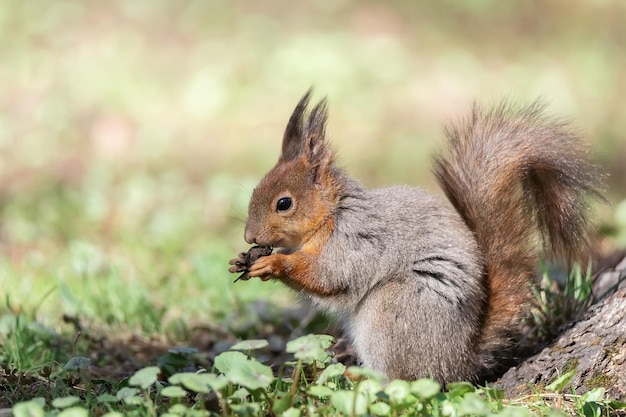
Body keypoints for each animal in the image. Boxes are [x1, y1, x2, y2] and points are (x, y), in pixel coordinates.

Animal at [227, 90, 604, 384]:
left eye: (284, 203)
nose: (249, 236)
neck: (331, 215)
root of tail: (458, 360)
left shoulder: (355, 240)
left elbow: (329, 276)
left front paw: (273, 263)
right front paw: (242, 260)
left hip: (395, 312)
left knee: (403, 380)